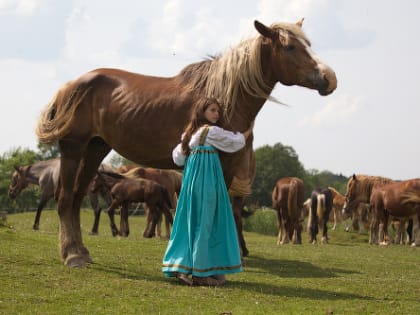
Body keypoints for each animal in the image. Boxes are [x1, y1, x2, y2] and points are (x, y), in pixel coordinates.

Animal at [36, 19, 338, 266]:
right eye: (290, 47)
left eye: (308, 44)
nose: (330, 78)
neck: (223, 98)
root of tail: (70, 85)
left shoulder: (228, 168)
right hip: (74, 148)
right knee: (65, 199)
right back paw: (72, 255)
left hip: (95, 149)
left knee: (76, 199)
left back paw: (80, 251)